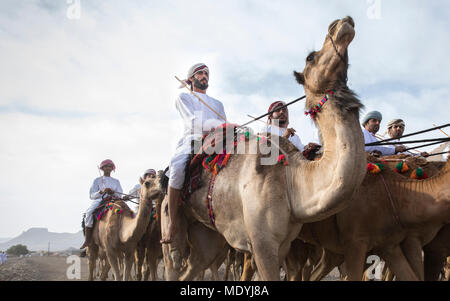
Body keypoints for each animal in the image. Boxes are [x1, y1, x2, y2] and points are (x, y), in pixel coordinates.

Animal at [161, 15, 366, 280]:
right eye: (310, 57)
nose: (342, 22)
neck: (291, 178)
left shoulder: (283, 244)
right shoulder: (261, 243)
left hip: (208, 234)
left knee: (196, 262)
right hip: (172, 224)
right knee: (174, 259)